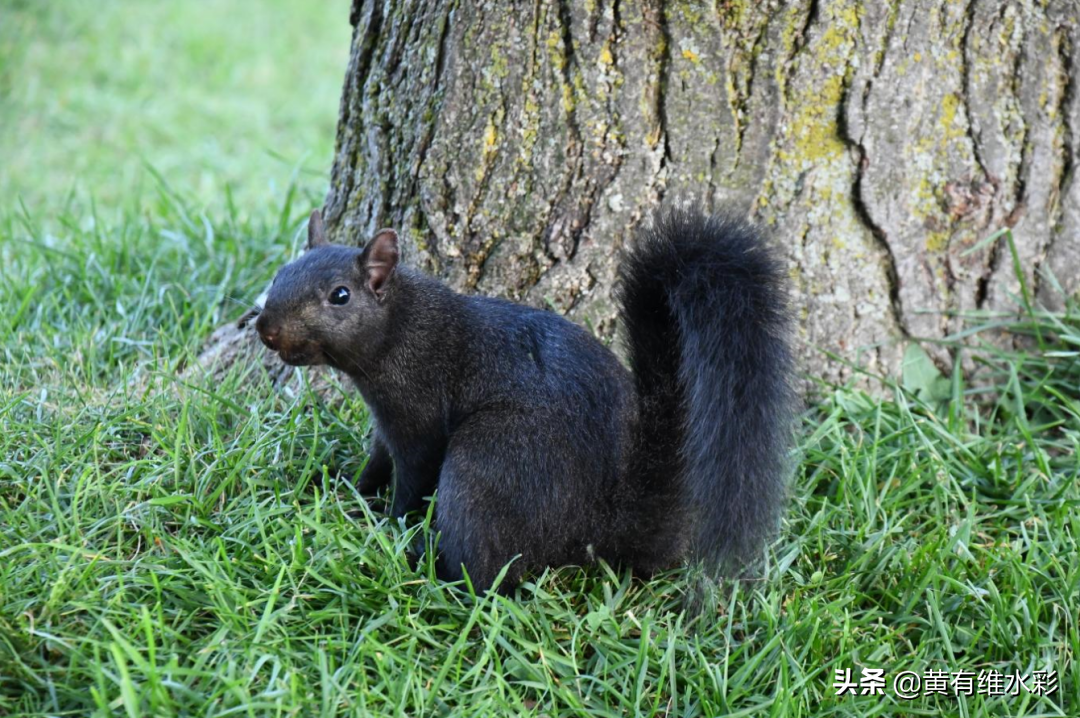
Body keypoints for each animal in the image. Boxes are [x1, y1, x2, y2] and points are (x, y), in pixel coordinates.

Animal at [252, 204, 794, 591]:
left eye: (340, 296)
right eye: (280, 272)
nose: (266, 330)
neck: (399, 328)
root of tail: (604, 526)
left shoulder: (416, 415)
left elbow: (412, 478)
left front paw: (386, 525)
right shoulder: (387, 421)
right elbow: (377, 461)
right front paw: (350, 491)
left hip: (491, 459)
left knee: (490, 575)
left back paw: (430, 567)